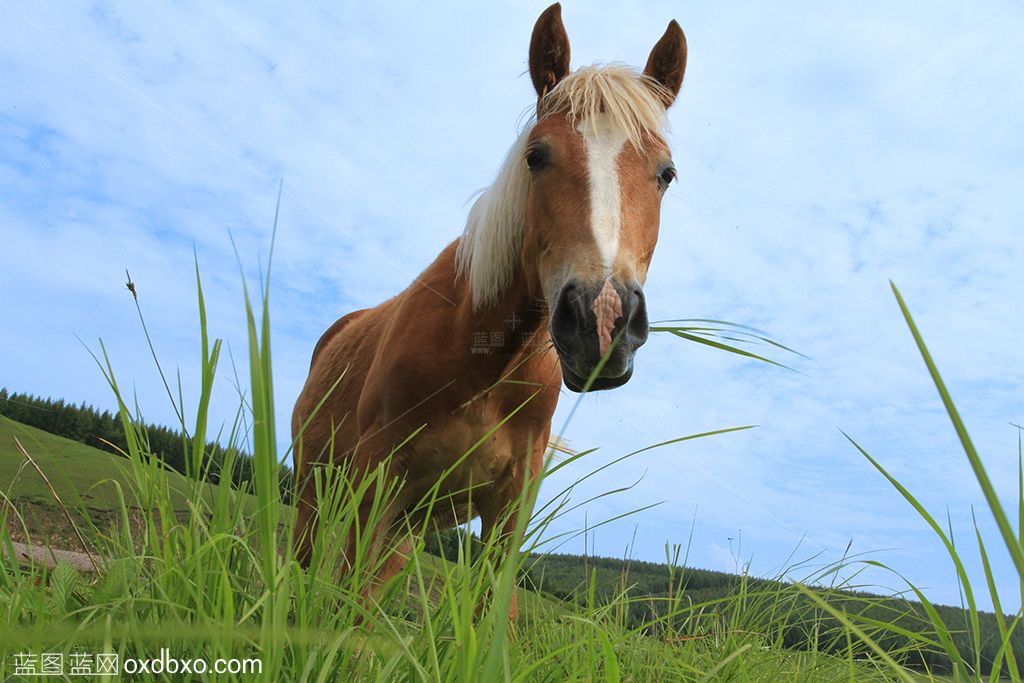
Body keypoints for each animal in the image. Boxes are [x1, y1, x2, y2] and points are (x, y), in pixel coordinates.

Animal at [290, 1, 688, 618]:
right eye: (536, 156)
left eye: (666, 173)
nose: (600, 321)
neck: (480, 359)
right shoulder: (377, 480)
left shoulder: (508, 507)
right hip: (316, 491)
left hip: (406, 527)